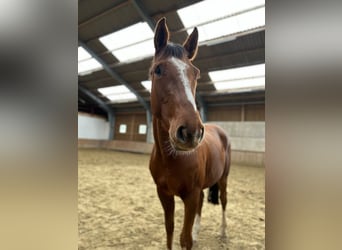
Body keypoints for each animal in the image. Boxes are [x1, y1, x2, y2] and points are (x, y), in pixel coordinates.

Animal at [149, 18, 231, 250]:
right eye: (158, 69)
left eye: (196, 73)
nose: (191, 131)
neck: (171, 159)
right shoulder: (164, 194)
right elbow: (169, 231)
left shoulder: (190, 196)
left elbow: (184, 239)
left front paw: (191, 237)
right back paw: (198, 231)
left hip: (223, 179)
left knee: (223, 200)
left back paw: (223, 232)